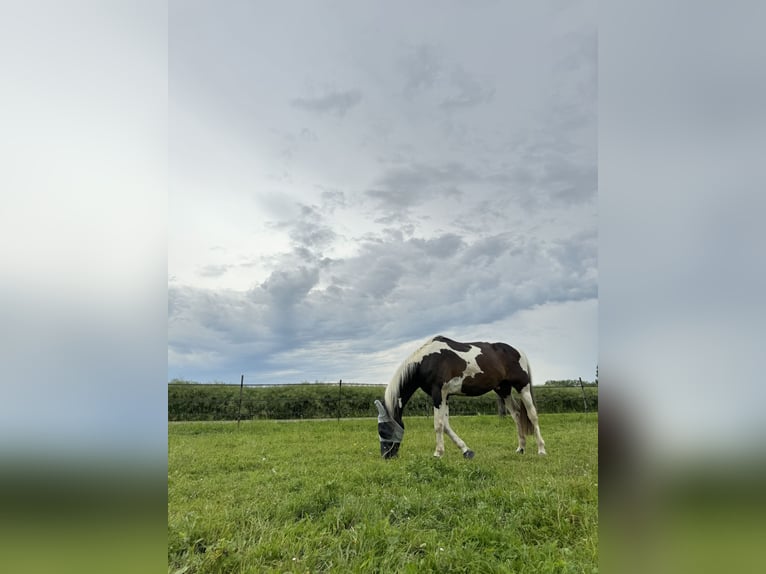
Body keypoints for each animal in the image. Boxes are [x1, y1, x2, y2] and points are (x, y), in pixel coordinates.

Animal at [376, 336, 544, 462]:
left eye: (383, 429)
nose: (386, 456)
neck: (427, 359)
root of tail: (517, 350)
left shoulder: (438, 394)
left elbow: (438, 424)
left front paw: (438, 453)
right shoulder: (445, 396)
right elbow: (446, 425)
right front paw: (466, 451)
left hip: (523, 387)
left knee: (532, 415)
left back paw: (541, 449)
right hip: (503, 390)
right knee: (516, 414)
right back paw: (521, 448)